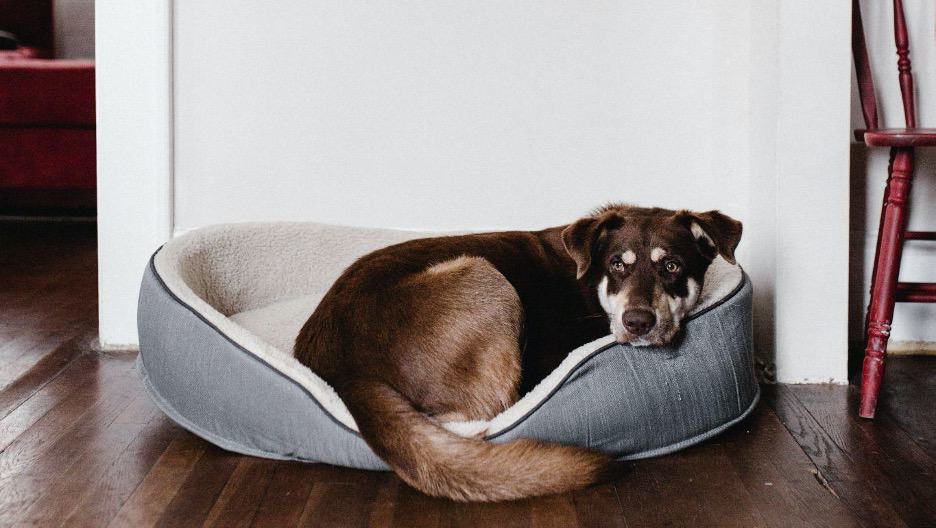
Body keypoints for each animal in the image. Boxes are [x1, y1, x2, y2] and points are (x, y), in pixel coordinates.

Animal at [296, 204, 744, 502]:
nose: (638, 322)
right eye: (618, 264)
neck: (591, 285)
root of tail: (343, 372)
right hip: (484, 276)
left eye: (671, 266)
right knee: (487, 412)